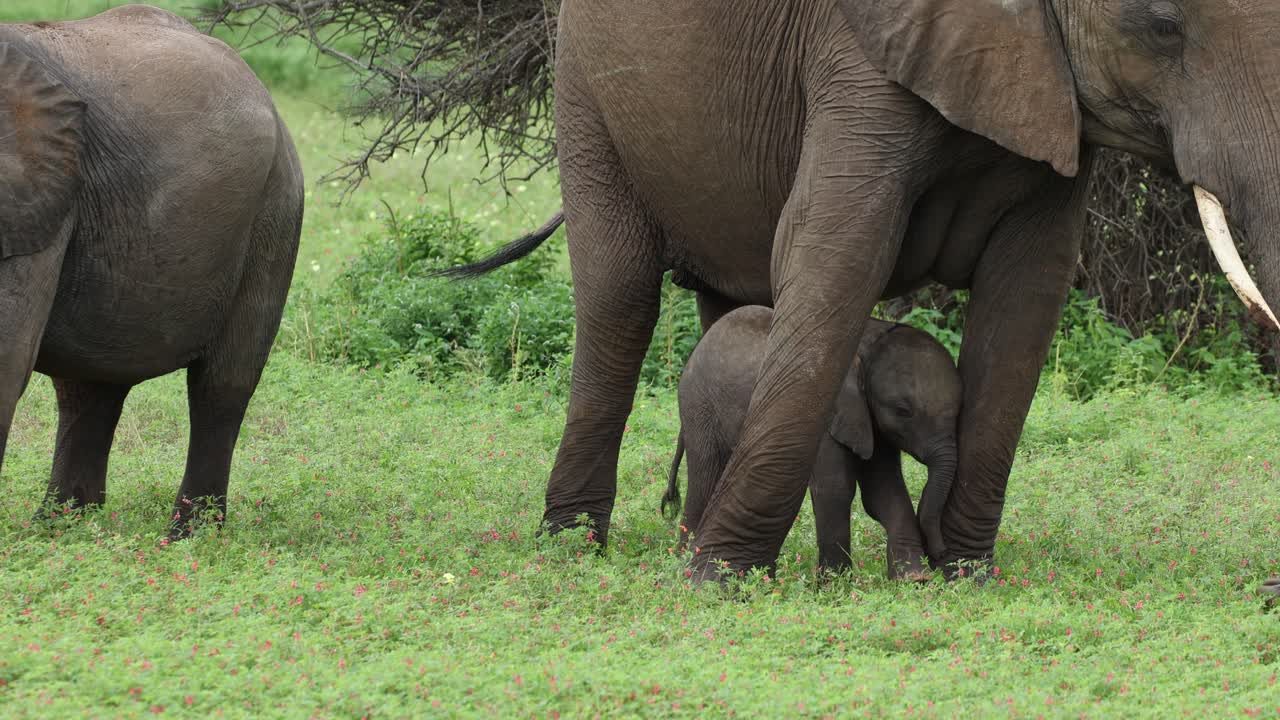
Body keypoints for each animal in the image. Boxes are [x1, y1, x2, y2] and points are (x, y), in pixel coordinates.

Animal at [0, 6, 303, 537]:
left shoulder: (36, 199)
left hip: (274, 213)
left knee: (221, 387)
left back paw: (187, 539)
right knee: (87, 388)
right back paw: (62, 531)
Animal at [660, 306, 961, 579]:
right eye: (903, 411)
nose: (941, 552)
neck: (870, 338)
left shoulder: (871, 420)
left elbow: (884, 489)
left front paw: (914, 578)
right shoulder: (829, 413)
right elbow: (834, 488)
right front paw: (836, 587)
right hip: (699, 404)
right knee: (704, 477)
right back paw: (684, 560)